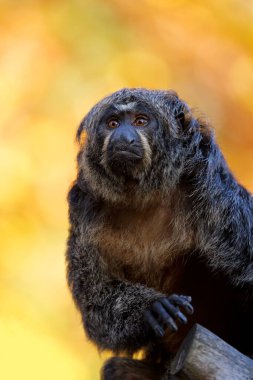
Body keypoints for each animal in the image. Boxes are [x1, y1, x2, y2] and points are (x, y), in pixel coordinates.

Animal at [66, 87, 253, 378]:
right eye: (113, 123)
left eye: (141, 121)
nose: (123, 136)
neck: (145, 196)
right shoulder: (82, 210)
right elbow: (96, 306)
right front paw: (151, 309)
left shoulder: (216, 197)